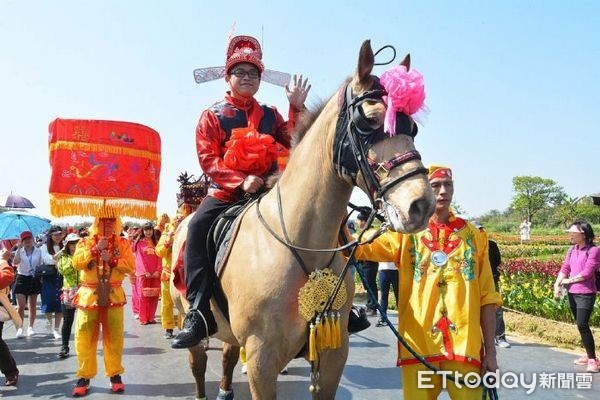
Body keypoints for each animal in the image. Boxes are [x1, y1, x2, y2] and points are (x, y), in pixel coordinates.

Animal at [171, 38, 434, 400]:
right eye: (368, 121)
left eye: (413, 127)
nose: (421, 204)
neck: (302, 241)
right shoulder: (261, 358)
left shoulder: (333, 351)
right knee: (198, 365)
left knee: (227, 354)